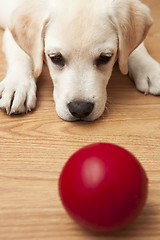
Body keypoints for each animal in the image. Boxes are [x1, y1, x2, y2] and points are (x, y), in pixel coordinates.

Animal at [0, 0, 159, 120]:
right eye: (56, 58)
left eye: (105, 57)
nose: (80, 109)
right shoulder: (11, 29)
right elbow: (21, 54)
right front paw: (17, 86)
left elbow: (136, 48)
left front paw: (149, 68)